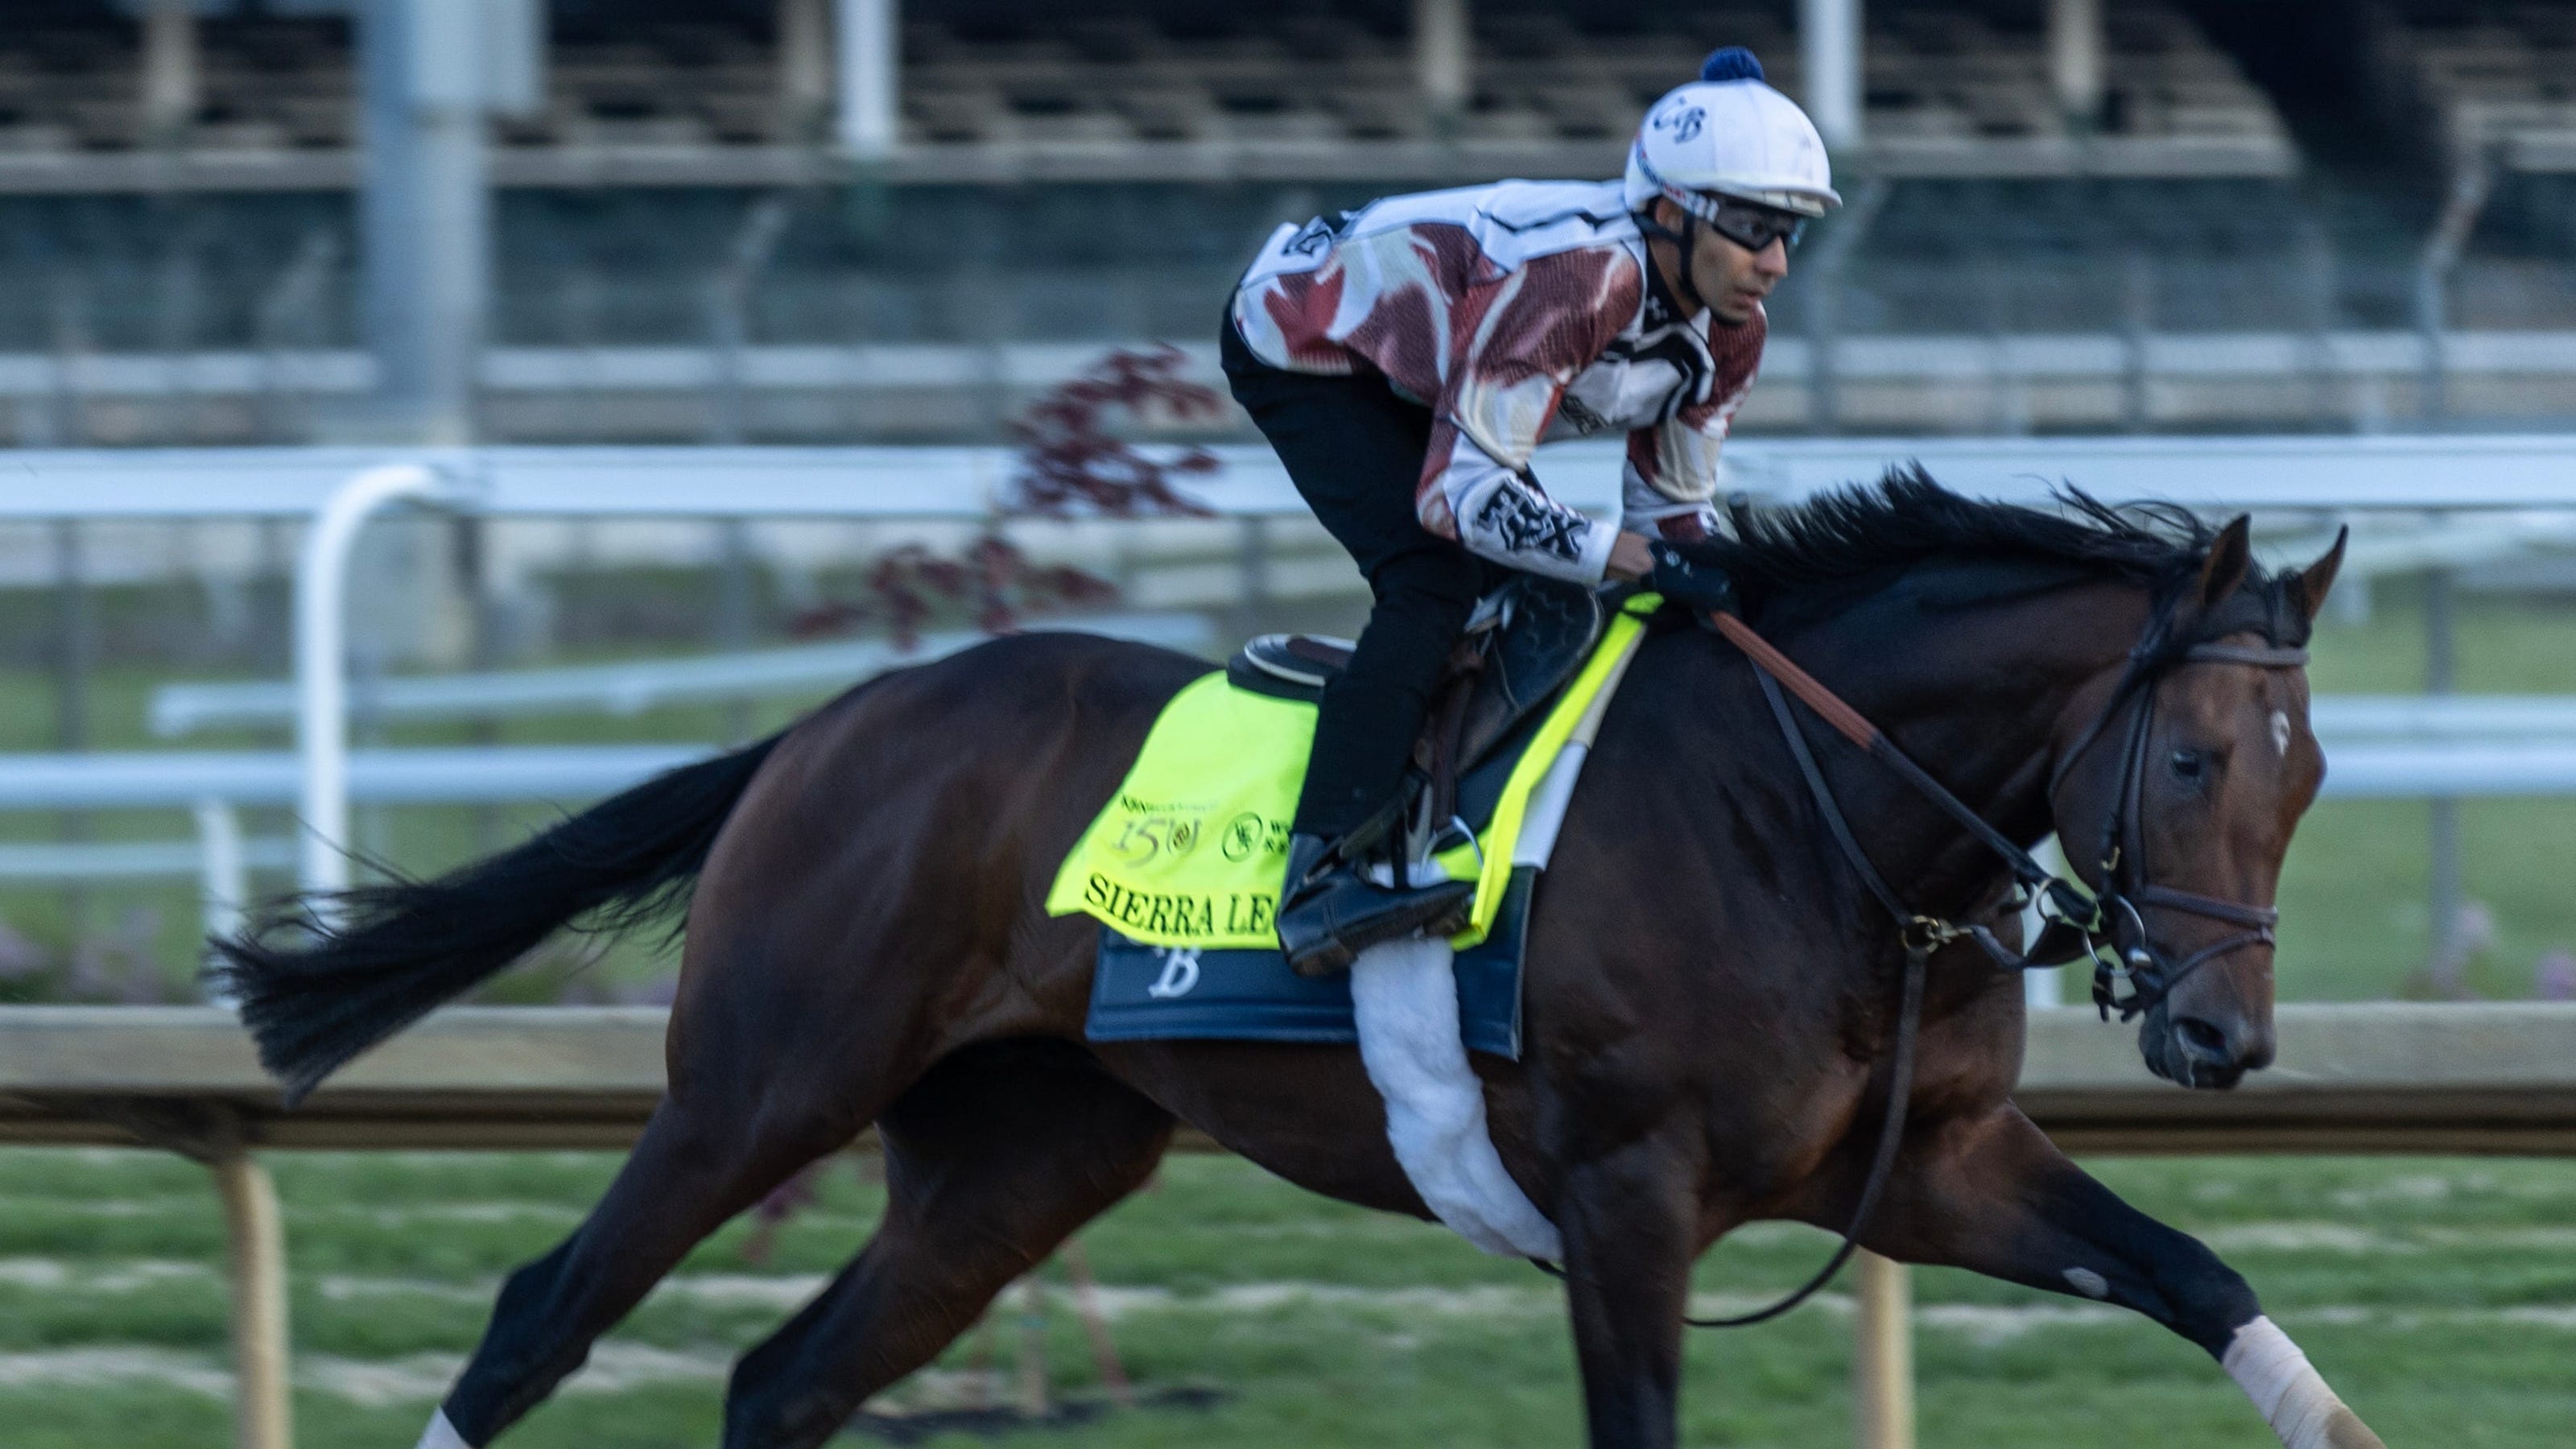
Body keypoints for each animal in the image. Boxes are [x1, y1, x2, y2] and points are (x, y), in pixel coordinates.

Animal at [217, 471, 2375, 1449]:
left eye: (2310, 775)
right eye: (2192, 759)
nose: (2222, 1035)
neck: (1811, 812)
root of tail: (835, 722)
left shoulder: (1926, 1163)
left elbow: (2202, 1277)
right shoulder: (1629, 1193)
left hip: (1020, 1155)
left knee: (779, 1381)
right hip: (762, 1081)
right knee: (537, 1322)